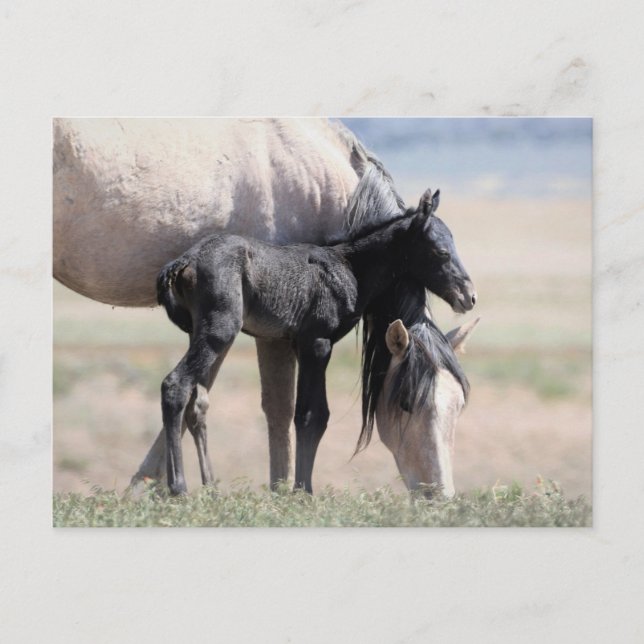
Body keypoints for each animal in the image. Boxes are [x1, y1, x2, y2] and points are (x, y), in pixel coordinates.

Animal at [157, 188, 476, 494]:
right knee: (175, 385)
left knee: (196, 403)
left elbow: (309, 414)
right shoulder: (318, 343)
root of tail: (184, 262)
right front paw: (303, 492)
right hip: (219, 332)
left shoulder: (300, 345)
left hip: (198, 333)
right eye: (441, 251)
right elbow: (312, 415)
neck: (350, 266)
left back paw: (210, 487)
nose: (469, 297)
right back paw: (178, 488)